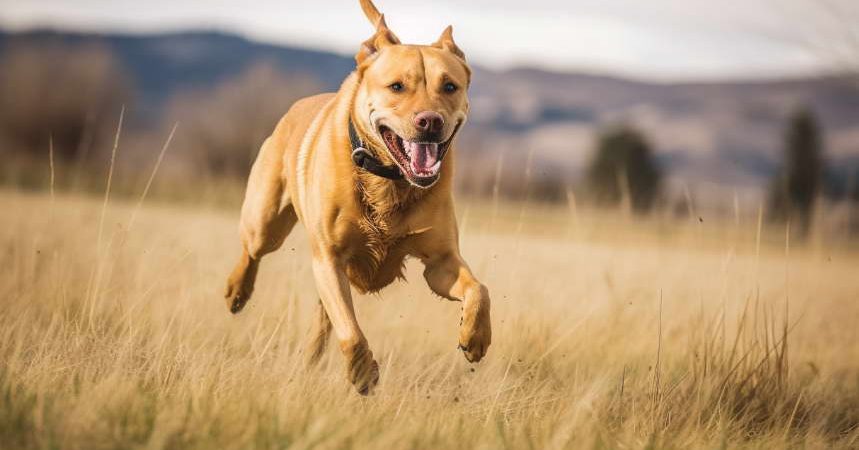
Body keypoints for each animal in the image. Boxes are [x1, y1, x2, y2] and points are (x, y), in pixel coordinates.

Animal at [222, 0, 490, 394]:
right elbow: (350, 331)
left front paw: (475, 337)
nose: (430, 121)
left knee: (321, 322)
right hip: (265, 221)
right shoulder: (329, 259)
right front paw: (363, 373)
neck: (389, 180)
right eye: (397, 86)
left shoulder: (440, 262)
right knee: (252, 251)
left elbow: (479, 289)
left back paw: (309, 358)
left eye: (450, 86)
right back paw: (237, 292)